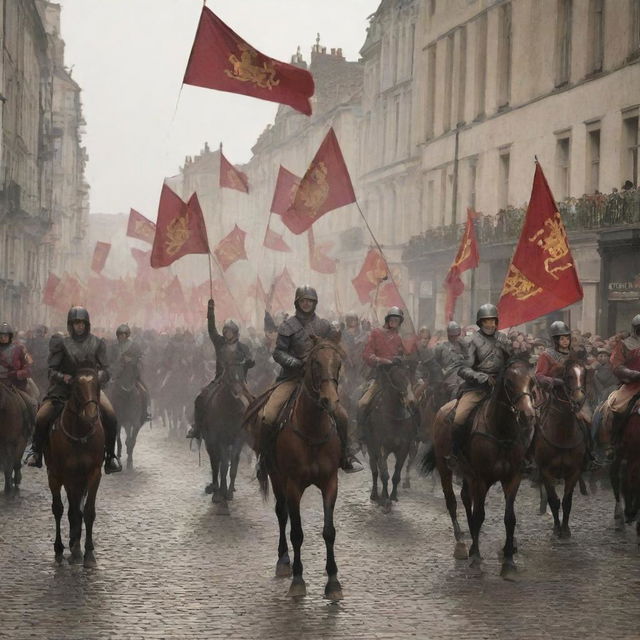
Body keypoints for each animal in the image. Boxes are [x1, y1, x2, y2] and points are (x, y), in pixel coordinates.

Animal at [45, 368, 105, 568]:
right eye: (77, 388)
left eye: (98, 385)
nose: (92, 415)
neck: (80, 434)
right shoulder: (66, 476)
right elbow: (68, 511)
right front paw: (70, 549)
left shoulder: (93, 474)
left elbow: (88, 511)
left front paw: (88, 553)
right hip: (57, 477)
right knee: (60, 509)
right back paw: (62, 549)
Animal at [250, 336, 348, 600]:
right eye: (315, 362)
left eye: (338, 362)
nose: (330, 401)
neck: (312, 429)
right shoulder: (293, 484)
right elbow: (296, 532)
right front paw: (298, 580)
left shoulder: (330, 482)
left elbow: (329, 531)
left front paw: (333, 582)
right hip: (276, 476)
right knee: (282, 513)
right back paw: (284, 561)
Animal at [364, 364, 420, 504]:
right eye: (397, 378)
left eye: (412, 376)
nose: (411, 402)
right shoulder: (380, 446)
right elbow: (384, 474)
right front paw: (385, 496)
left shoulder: (403, 449)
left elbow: (396, 475)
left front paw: (393, 496)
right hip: (371, 448)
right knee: (375, 470)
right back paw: (375, 494)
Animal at [422, 358, 536, 576]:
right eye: (509, 382)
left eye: (532, 382)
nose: (527, 414)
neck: (501, 431)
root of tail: (443, 409)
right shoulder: (482, 478)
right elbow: (479, 514)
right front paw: (475, 558)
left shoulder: (512, 478)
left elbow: (509, 517)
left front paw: (509, 561)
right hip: (445, 468)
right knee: (452, 502)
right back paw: (461, 543)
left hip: (468, 475)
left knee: (466, 499)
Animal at [532, 358, 588, 536]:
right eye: (569, 376)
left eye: (583, 375)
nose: (579, 400)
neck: (562, 434)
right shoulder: (546, 472)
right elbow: (554, 501)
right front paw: (557, 529)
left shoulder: (574, 472)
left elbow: (567, 502)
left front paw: (566, 529)